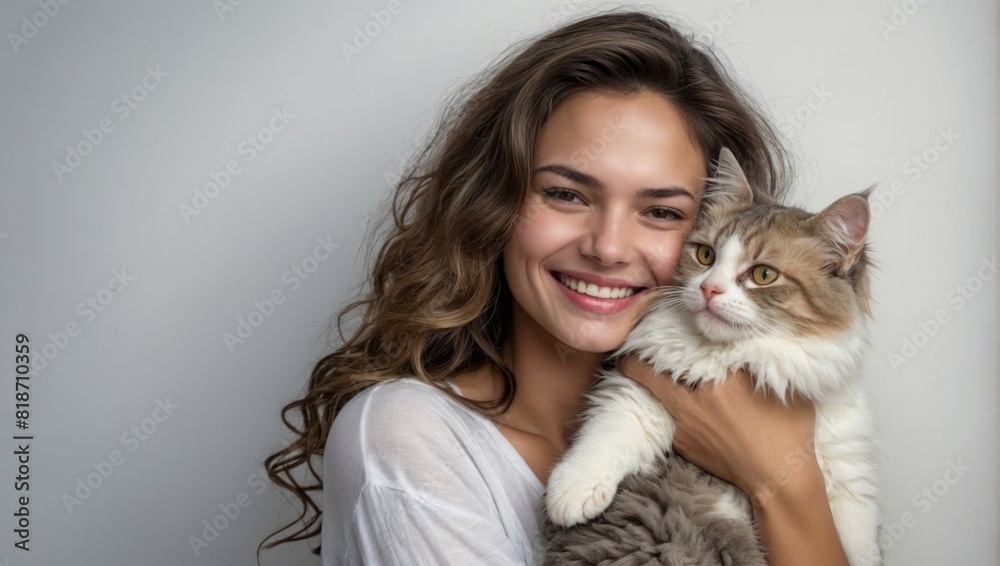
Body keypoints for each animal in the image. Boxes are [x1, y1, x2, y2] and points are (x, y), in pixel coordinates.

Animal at [544, 149, 880, 564]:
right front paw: (572, 491)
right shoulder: (645, 388)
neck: (733, 357)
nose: (709, 289)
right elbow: (611, 432)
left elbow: (855, 534)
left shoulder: (846, 465)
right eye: (706, 255)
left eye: (763, 275)